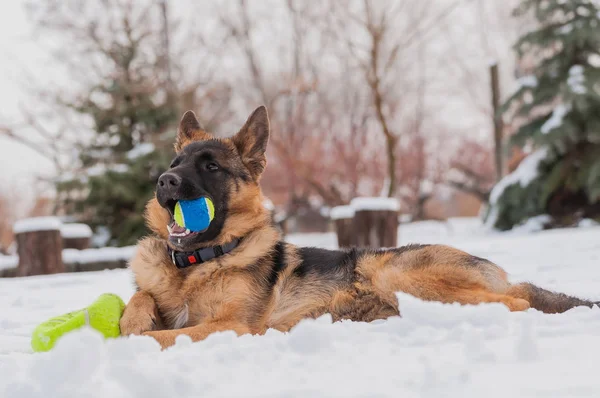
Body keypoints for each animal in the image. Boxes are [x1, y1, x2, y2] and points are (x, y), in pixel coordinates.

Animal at [119, 105, 596, 348]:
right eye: (175, 163)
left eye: (211, 167)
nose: (165, 181)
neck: (194, 264)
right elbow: (141, 298)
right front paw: (130, 322)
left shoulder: (233, 325)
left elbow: (170, 335)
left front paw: (127, 342)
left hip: (396, 274)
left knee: (514, 302)